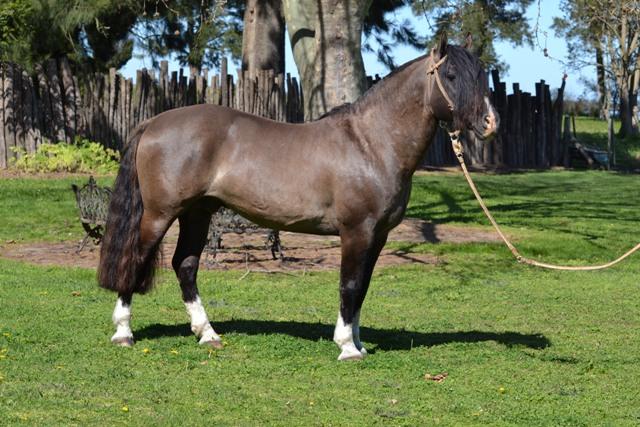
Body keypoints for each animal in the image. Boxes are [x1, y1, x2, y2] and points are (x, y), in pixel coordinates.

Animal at [98, 33, 498, 361]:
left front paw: (359, 343)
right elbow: (349, 285)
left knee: (185, 265)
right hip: (159, 214)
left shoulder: (378, 236)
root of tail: (153, 122)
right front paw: (347, 347)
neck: (370, 144)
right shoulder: (357, 232)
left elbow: (362, 289)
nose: (490, 123)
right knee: (135, 259)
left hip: (197, 212)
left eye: (481, 75)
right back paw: (123, 333)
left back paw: (207, 334)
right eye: (451, 76)